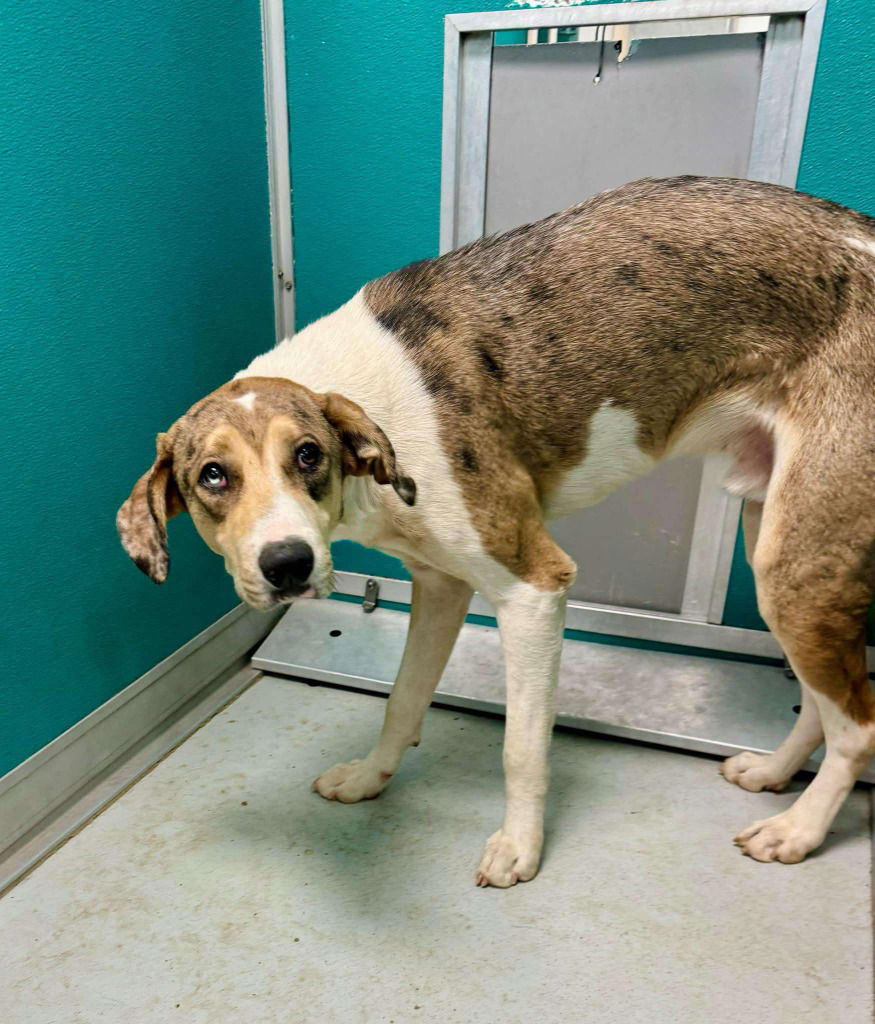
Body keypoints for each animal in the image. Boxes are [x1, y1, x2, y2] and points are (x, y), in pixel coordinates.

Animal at [118, 176, 875, 887]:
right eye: (212, 476)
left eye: (308, 456)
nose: (287, 565)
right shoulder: (439, 586)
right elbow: (401, 700)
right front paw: (369, 778)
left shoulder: (533, 588)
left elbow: (522, 748)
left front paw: (519, 847)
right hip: (780, 546)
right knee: (826, 699)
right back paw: (773, 775)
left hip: (795, 562)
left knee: (857, 724)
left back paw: (799, 830)